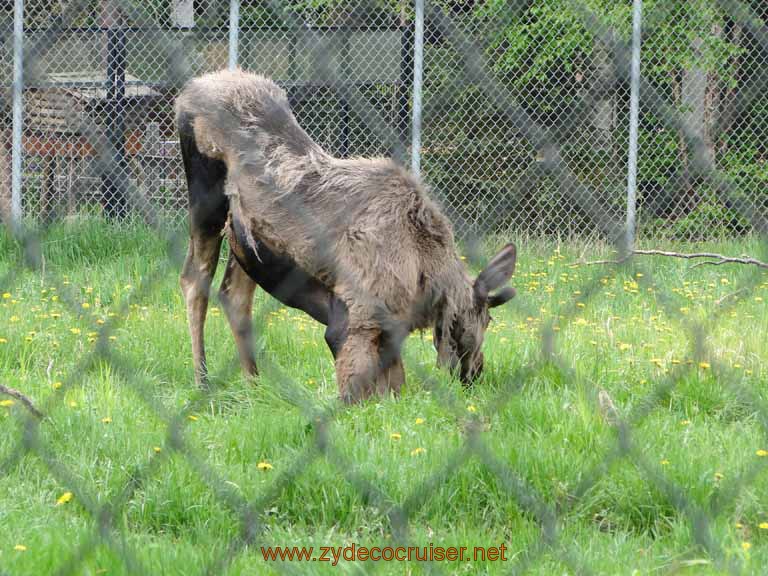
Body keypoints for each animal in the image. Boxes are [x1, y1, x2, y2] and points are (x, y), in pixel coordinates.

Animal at [177, 70, 520, 402]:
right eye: (477, 321)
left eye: (488, 321)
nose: (474, 374)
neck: (424, 273)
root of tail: (186, 93)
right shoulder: (352, 320)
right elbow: (361, 394)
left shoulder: (389, 327)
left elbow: (394, 386)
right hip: (206, 205)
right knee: (194, 280)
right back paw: (203, 382)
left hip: (244, 240)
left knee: (234, 295)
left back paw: (254, 385)